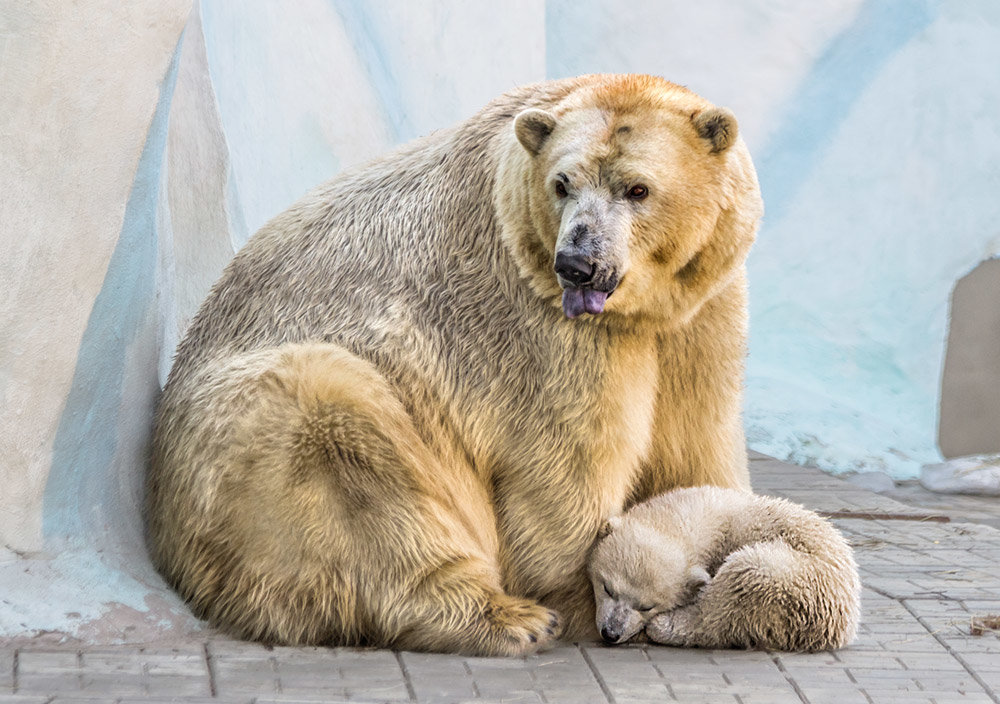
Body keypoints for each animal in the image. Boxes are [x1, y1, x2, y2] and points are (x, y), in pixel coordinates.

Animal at [146, 74, 756, 656]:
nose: (577, 264)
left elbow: (696, 436)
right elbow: (567, 467)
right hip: (254, 438)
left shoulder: (700, 312)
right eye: (562, 183)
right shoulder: (542, 331)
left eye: (638, 188)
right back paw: (508, 619)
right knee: (352, 460)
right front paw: (589, 597)